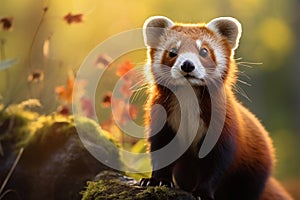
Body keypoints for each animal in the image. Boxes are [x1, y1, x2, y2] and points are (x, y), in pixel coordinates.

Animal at [141, 16, 292, 200]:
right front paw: (156, 180)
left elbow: (216, 166)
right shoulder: (162, 119)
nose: (187, 65)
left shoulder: (223, 128)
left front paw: (203, 192)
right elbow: (161, 152)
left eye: (204, 51)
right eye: (172, 52)